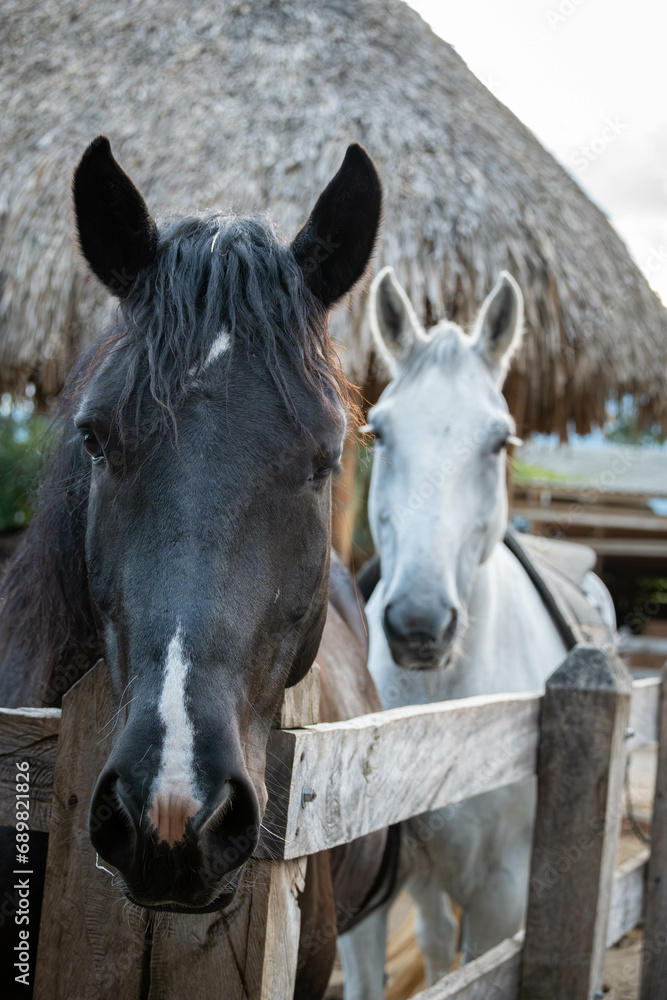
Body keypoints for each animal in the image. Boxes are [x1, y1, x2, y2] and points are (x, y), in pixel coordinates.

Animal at [337, 266, 616, 998]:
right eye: (380, 434)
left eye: (500, 441)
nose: (417, 625)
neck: (441, 714)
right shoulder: (364, 899)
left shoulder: (499, 900)